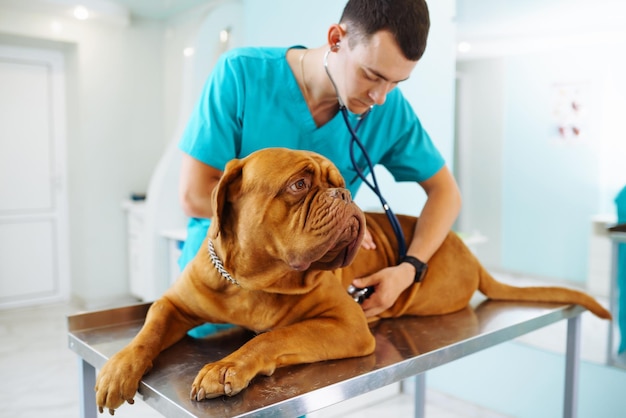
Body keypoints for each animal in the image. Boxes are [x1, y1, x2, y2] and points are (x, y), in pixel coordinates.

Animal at [94, 147, 608, 414]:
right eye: (299, 184)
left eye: (340, 181)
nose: (342, 195)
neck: (256, 281)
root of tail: (471, 255)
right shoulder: (175, 304)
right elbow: (149, 329)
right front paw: (119, 368)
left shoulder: (346, 325)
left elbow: (273, 337)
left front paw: (227, 367)